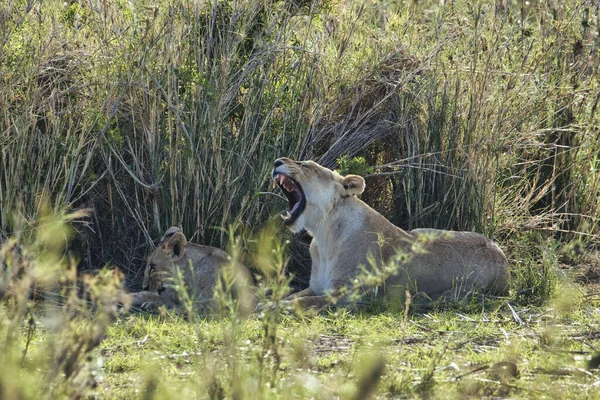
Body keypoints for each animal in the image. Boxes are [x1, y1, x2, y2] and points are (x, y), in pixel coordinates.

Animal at [274, 156, 510, 310]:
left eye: (305, 165)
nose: (276, 162)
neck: (323, 235)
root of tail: (502, 255)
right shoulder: (316, 288)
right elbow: (293, 296)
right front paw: (270, 303)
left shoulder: (348, 295)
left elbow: (301, 303)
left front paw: (274, 310)